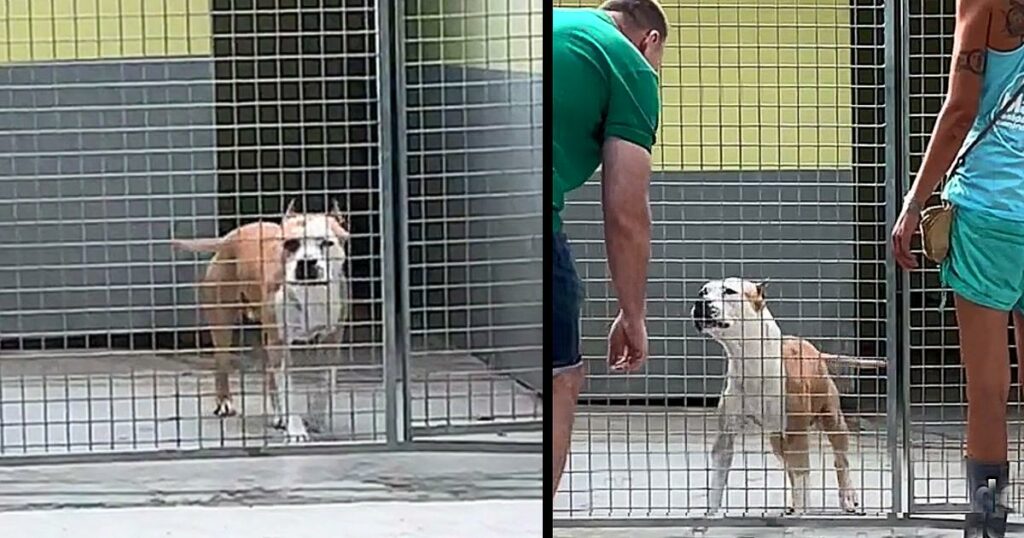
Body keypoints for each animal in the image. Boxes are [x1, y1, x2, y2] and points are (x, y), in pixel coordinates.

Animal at [174, 198, 350, 442]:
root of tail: (229, 237)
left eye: (326, 243)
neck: (308, 293)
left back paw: (279, 416)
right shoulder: (279, 342)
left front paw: (316, 420)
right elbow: (288, 390)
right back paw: (225, 402)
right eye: (291, 244)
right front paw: (296, 430)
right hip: (223, 322)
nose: (307, 263)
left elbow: (324, 385)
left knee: (269, 375)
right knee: (222, 363)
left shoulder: (330, 340)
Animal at [692, 276, 884, 516]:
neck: (751, 361)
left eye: (729, 291)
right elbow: (717, 485)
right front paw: (712, 514)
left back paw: (848, 498)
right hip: (778, 440)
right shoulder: (725, 437)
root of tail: (814, 351)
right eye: (703, 292)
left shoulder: (796, 434)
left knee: (841, 461)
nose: (700, 303)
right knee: (791, 469)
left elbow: (803, 474)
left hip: (833, 421)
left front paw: (804, 510)